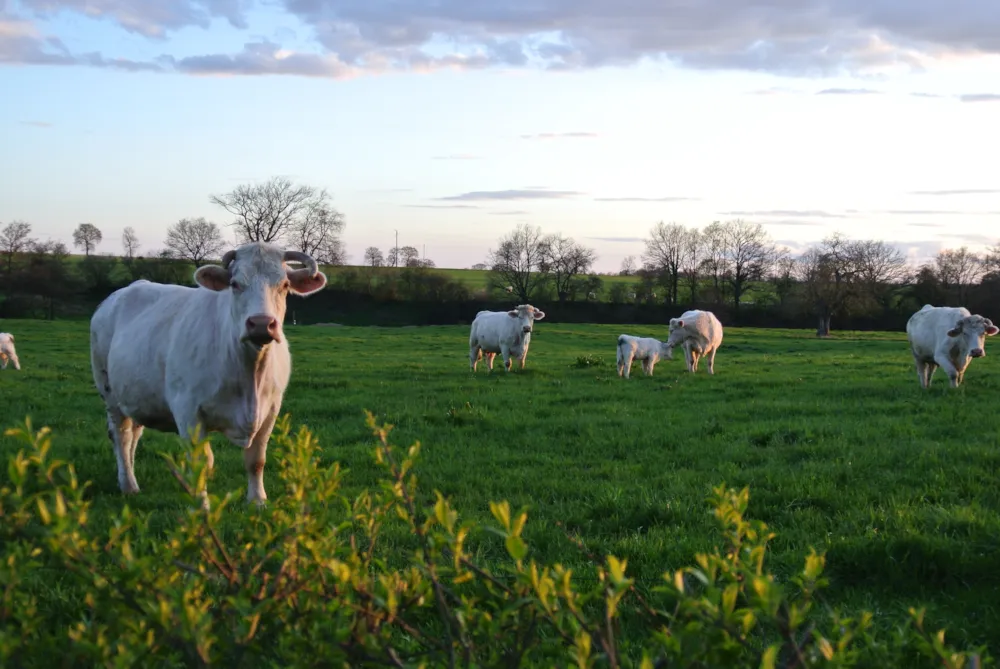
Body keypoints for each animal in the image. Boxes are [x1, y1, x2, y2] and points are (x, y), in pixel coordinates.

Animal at [91, 243, 328, 504]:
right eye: (235, 284)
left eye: (284, 285)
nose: (261, 324)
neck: (249, 374)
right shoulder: (187, 410)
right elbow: (202, 463)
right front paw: (202, 506)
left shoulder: (271, 409)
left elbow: (256, 460)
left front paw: (257, 501)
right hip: (108, 390)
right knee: (121, 436)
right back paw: (128, 484)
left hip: (137, 395)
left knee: (133, 435)